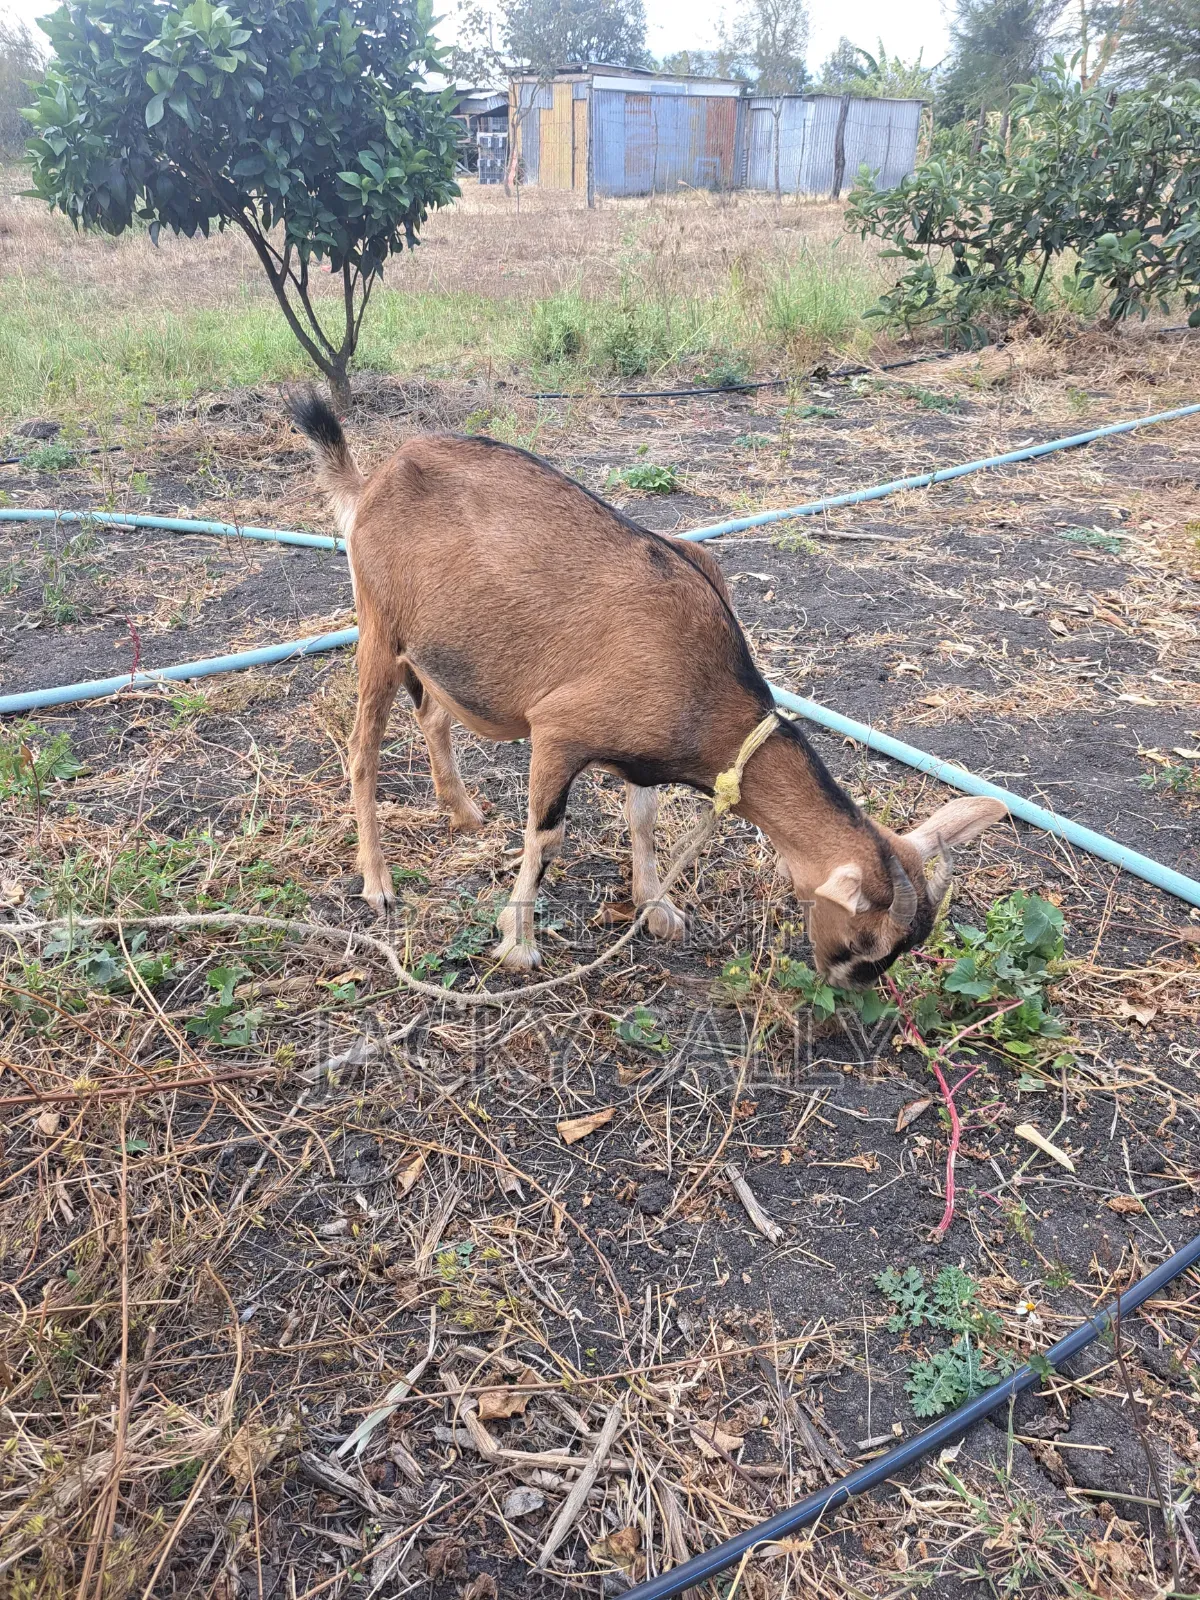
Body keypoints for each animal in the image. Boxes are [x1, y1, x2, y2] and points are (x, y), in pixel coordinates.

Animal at [291, 393, 1007, 984]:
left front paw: (656, 906)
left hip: (434, 647)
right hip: (377, 625)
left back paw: (462, 811)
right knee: (361, 753)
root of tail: (376, 477)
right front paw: (517, 941)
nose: (846, 986)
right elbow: (546, 838)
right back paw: (378, 882)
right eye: (866, 943)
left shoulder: (641, 752)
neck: (706, 691)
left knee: (434, 715)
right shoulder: (559, 730)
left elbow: (643, 817)